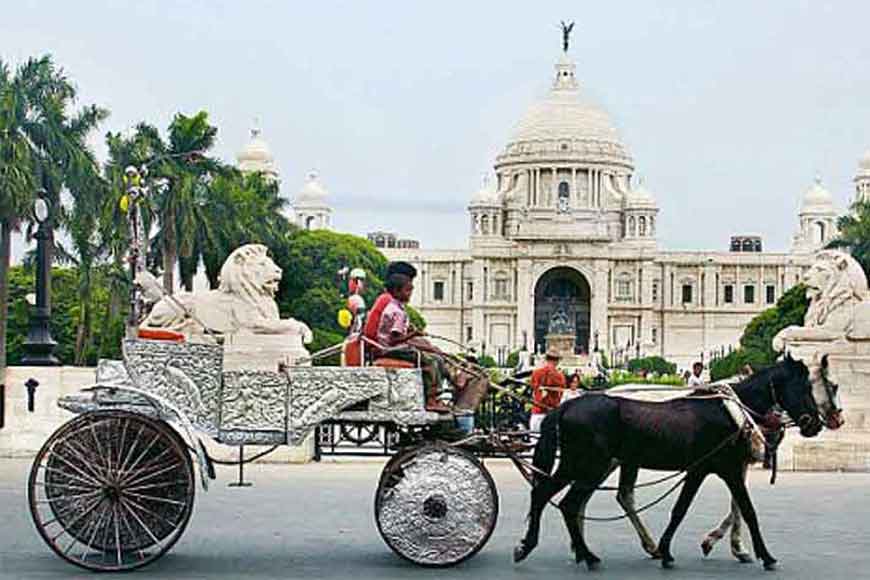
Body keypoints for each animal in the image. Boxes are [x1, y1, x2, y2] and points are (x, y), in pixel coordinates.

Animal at [516, 356, 828, 568]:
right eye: (805, 387)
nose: (815, 423)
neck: (731, 411)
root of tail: (566, 405)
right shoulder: (727, 469)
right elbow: (749, 511)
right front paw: (766, 555)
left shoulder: (699, 470)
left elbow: (680, 509)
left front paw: (665, 550)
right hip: (588, 465)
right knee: (563, 501)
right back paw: (573, 552)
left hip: (582, 466)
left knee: (552, 497)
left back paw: (558, 549)